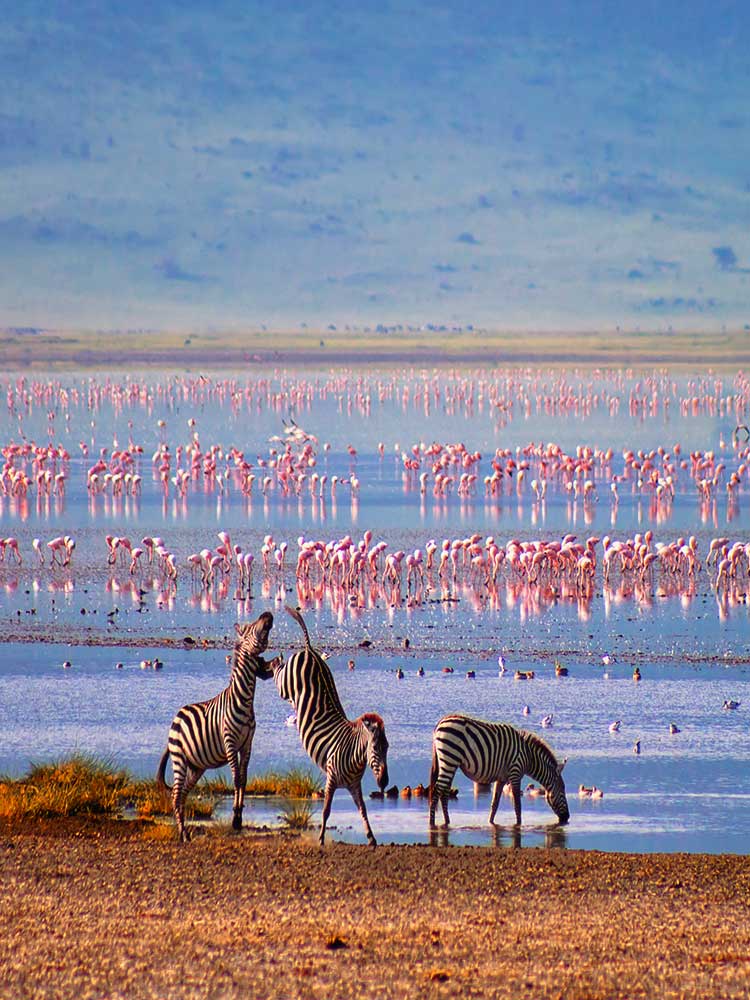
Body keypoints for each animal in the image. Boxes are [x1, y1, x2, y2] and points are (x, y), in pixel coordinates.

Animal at [157, 610, 280, 841]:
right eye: (250, 627)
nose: (267, 613)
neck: (244, 699)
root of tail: (177, 716)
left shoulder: (247, 744)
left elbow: (244, 779)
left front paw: (238, 818)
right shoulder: (230, 742)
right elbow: (236, 779)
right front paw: (235, 818)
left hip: (196, 766)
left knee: (183, 793)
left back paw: (185, 831)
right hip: (179, 758)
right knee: (176, 794)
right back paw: (182, 833)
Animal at [273, 606, 389, 845]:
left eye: (388, 748)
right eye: (375, 748)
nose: (384, 781)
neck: (355, 755)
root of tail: (309, 651)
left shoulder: (354, 785)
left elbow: (363, 810)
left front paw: (371, 838)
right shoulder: (331, 778)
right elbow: (326, 810)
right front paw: (320, 839)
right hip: (284, 685)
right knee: (277, 672)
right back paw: (273, 660)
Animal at [429, 714, 569, 828]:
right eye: (563, 789)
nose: (567, 818)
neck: (529, 756)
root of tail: (441, 721)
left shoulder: (501, 778)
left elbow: (495, 804)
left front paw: (491, 823)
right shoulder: (515, 772)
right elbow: (517, 804)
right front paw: (518, 824)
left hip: (450, 763)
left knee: (444, 791)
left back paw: (447, 821)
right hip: (449, 758)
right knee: (437, 790)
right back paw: (432, 823)